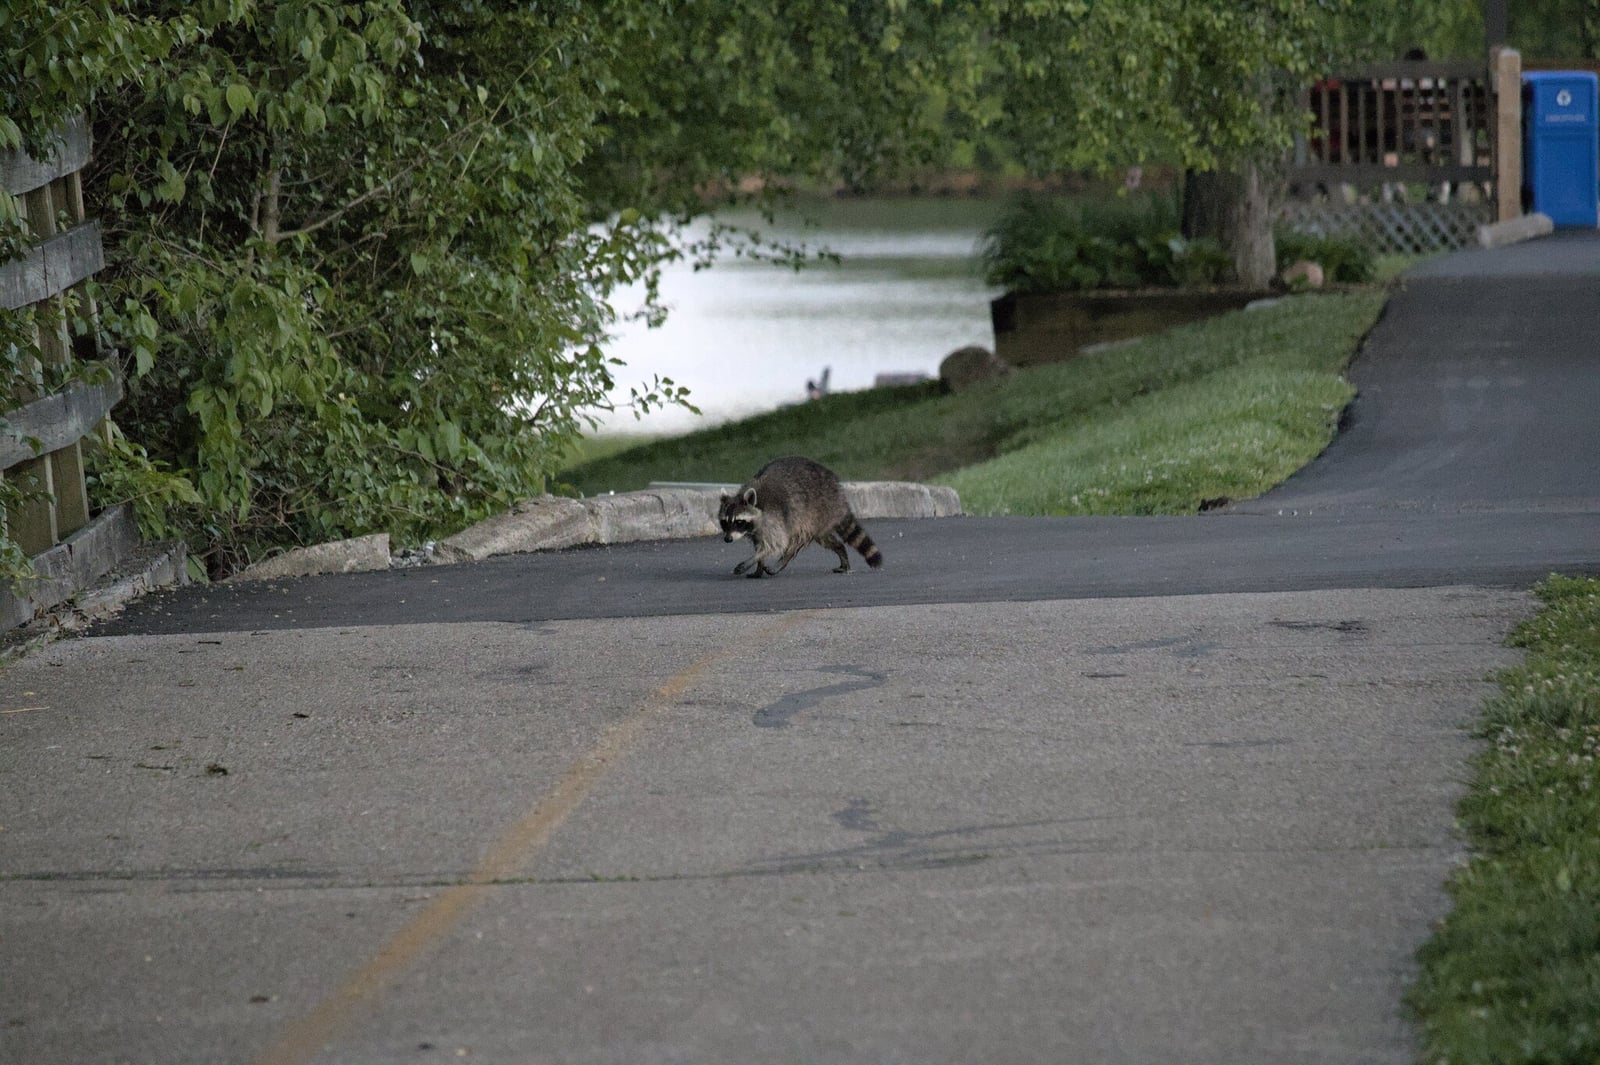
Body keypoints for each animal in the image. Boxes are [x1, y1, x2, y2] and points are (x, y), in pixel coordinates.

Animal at [718, 456, 883, 578]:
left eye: (739, 522)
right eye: (724, 522)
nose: (727, 539)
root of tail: (838, 491)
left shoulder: (773, 519)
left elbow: (774, 544)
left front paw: (753, 560)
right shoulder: (756, 530)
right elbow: (760, 543)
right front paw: (758, 566)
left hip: (812, 511)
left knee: (797, 540)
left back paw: (782, 562)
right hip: (819, 519)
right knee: (826, 539)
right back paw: (840, 550)